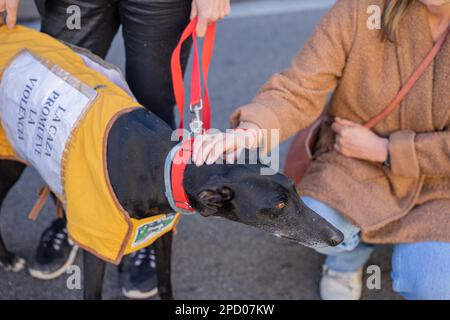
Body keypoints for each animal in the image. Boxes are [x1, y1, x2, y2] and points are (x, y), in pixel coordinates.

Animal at [0, 106, 344, 298]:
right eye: (280, 205)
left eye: (295, 189)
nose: (338, 237)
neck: (158, 165)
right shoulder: (97, 243)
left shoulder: (160, 232)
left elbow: (165, 282)